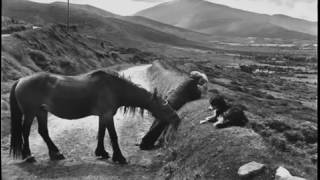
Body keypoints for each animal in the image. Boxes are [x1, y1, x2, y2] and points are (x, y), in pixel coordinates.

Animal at [9, 69, 180, 164]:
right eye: (163, 107)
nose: (177, 119)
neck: (114, 88)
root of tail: (21, 80)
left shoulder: (103, 116)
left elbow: (101, 133)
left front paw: (102, 152)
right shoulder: (107, 115)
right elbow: (113, 136)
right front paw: (120, 157)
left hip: (41, 112)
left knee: (43, 132)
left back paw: (56, 154)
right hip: (30, 113)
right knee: (25, 132)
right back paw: (28, 156)